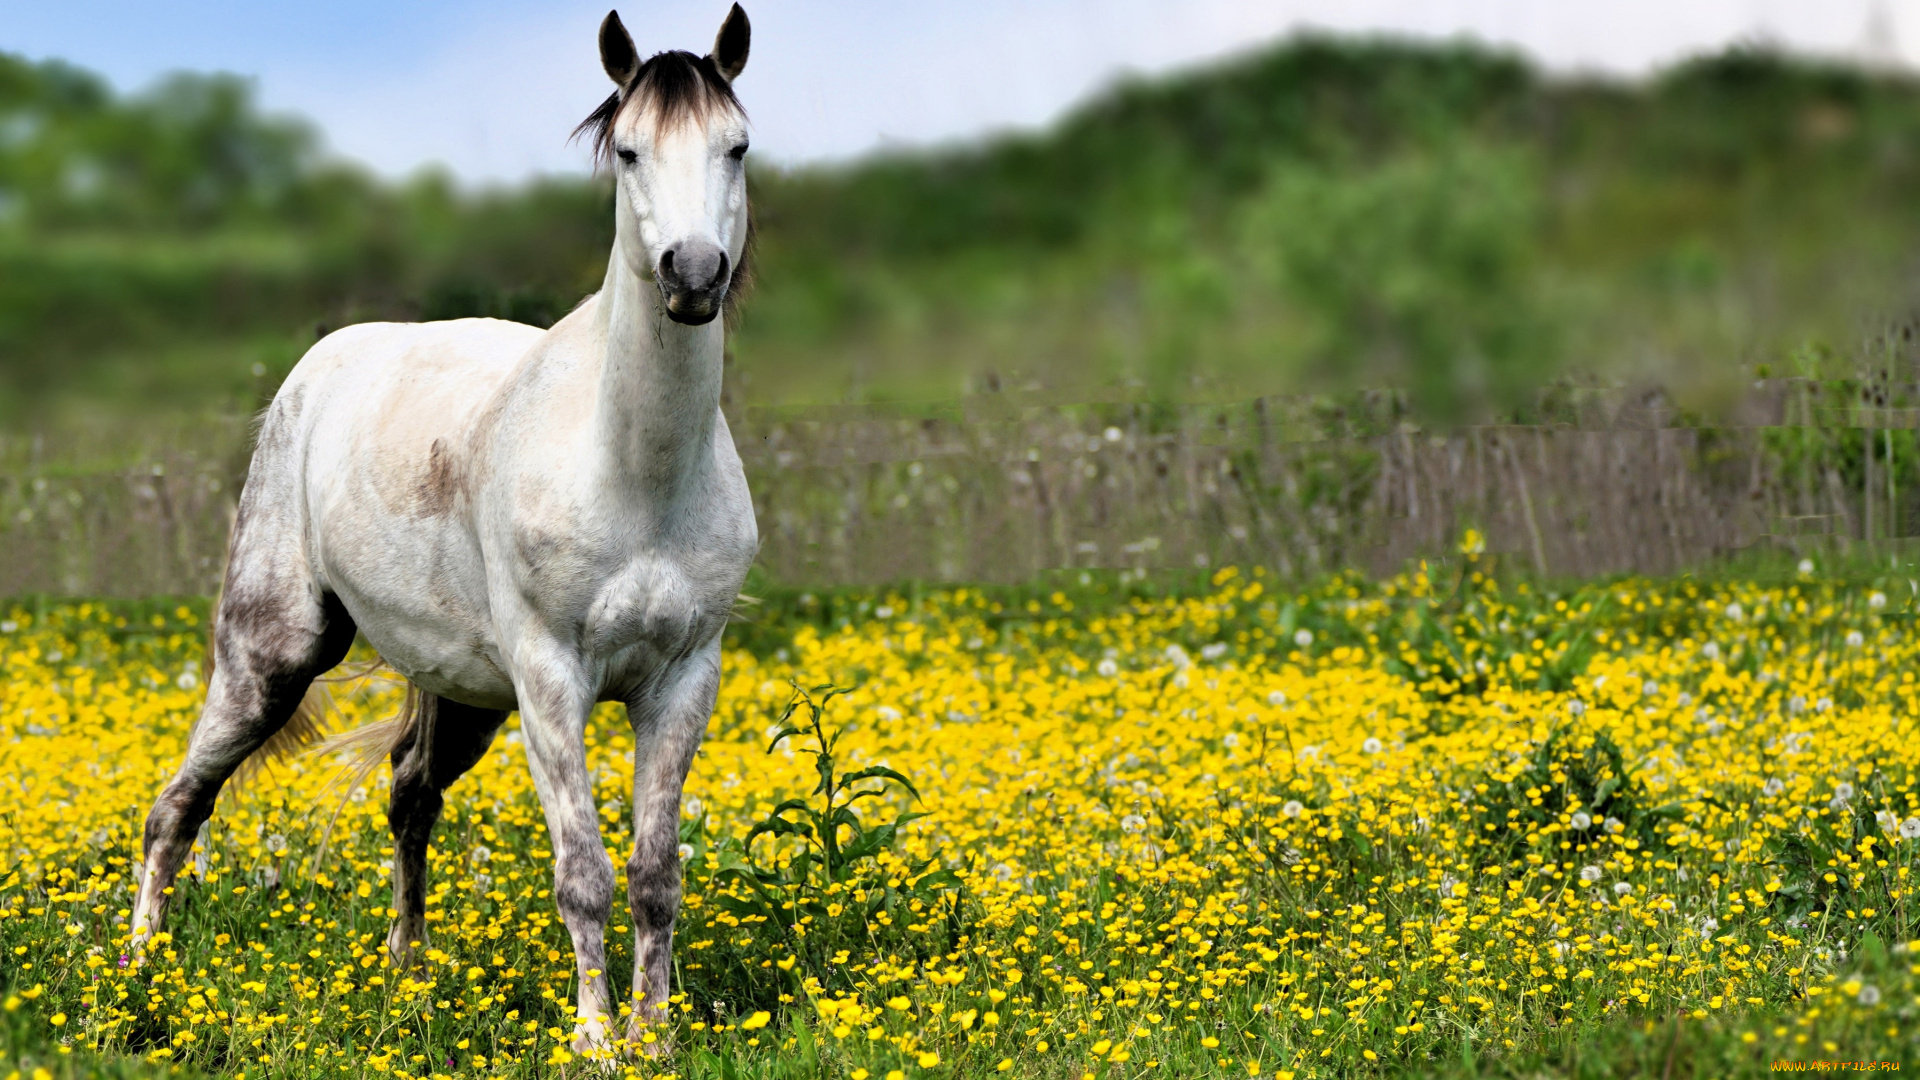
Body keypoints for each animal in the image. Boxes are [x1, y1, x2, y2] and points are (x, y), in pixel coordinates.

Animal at [127, 6, 752, 1053]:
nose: (695, 273)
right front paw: (595, 1045)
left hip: (466, 696)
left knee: (410, 797)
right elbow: (583, 875)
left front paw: (655, 1040)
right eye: (629, 150)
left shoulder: (681, 684)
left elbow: (654, 877)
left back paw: (407, 979)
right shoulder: (551, 681)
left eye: (736, 146)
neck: (634, 475)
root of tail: (322, 367)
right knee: (177, 806)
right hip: (270, 659)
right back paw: (135, 977)